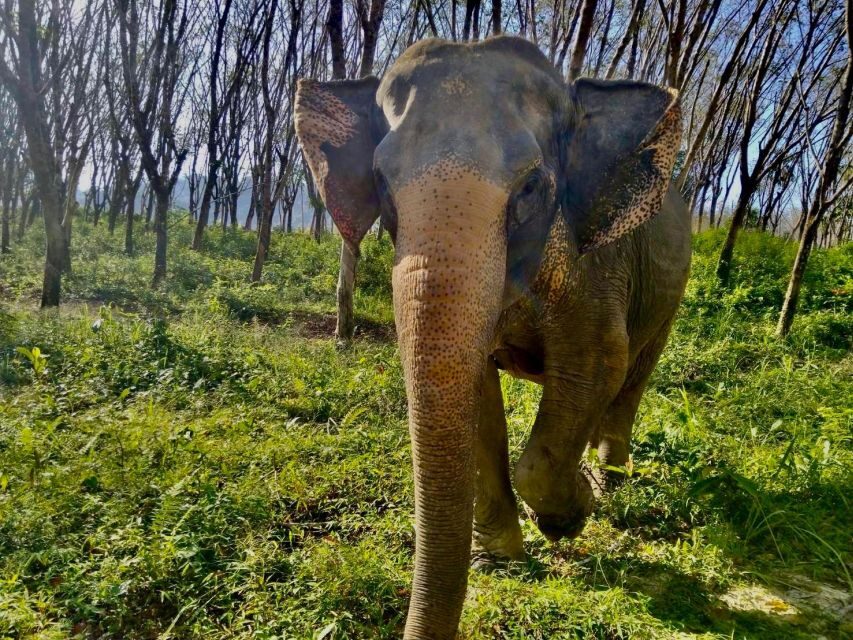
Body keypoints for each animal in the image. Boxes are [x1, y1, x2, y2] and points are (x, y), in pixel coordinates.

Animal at [295, 35, 691, 639]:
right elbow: (475, 396)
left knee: (632, 377)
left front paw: (572, 514)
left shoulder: (596, 270)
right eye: (381, 183)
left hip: (671, 288)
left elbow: (599, 363)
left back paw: (610, 482)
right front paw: (502, 560)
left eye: (530, 186)